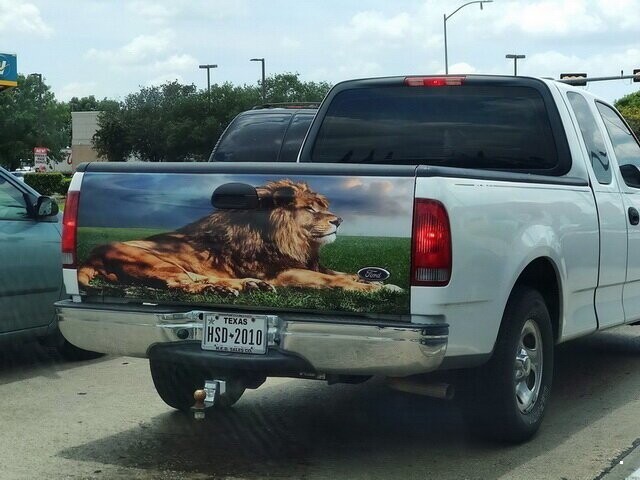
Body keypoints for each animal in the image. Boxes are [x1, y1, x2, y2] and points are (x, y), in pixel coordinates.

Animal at [77, 179, 402, 296]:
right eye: (310, 208)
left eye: (322, 207)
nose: (339, 220)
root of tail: (90, 256)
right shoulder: (282, 274)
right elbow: (330, 280)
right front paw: (371, 289)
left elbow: (341, 273)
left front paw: (382, 283)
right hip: (152, 260)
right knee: (180, 284)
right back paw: (225, 289)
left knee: (196, 278)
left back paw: (244, 286)